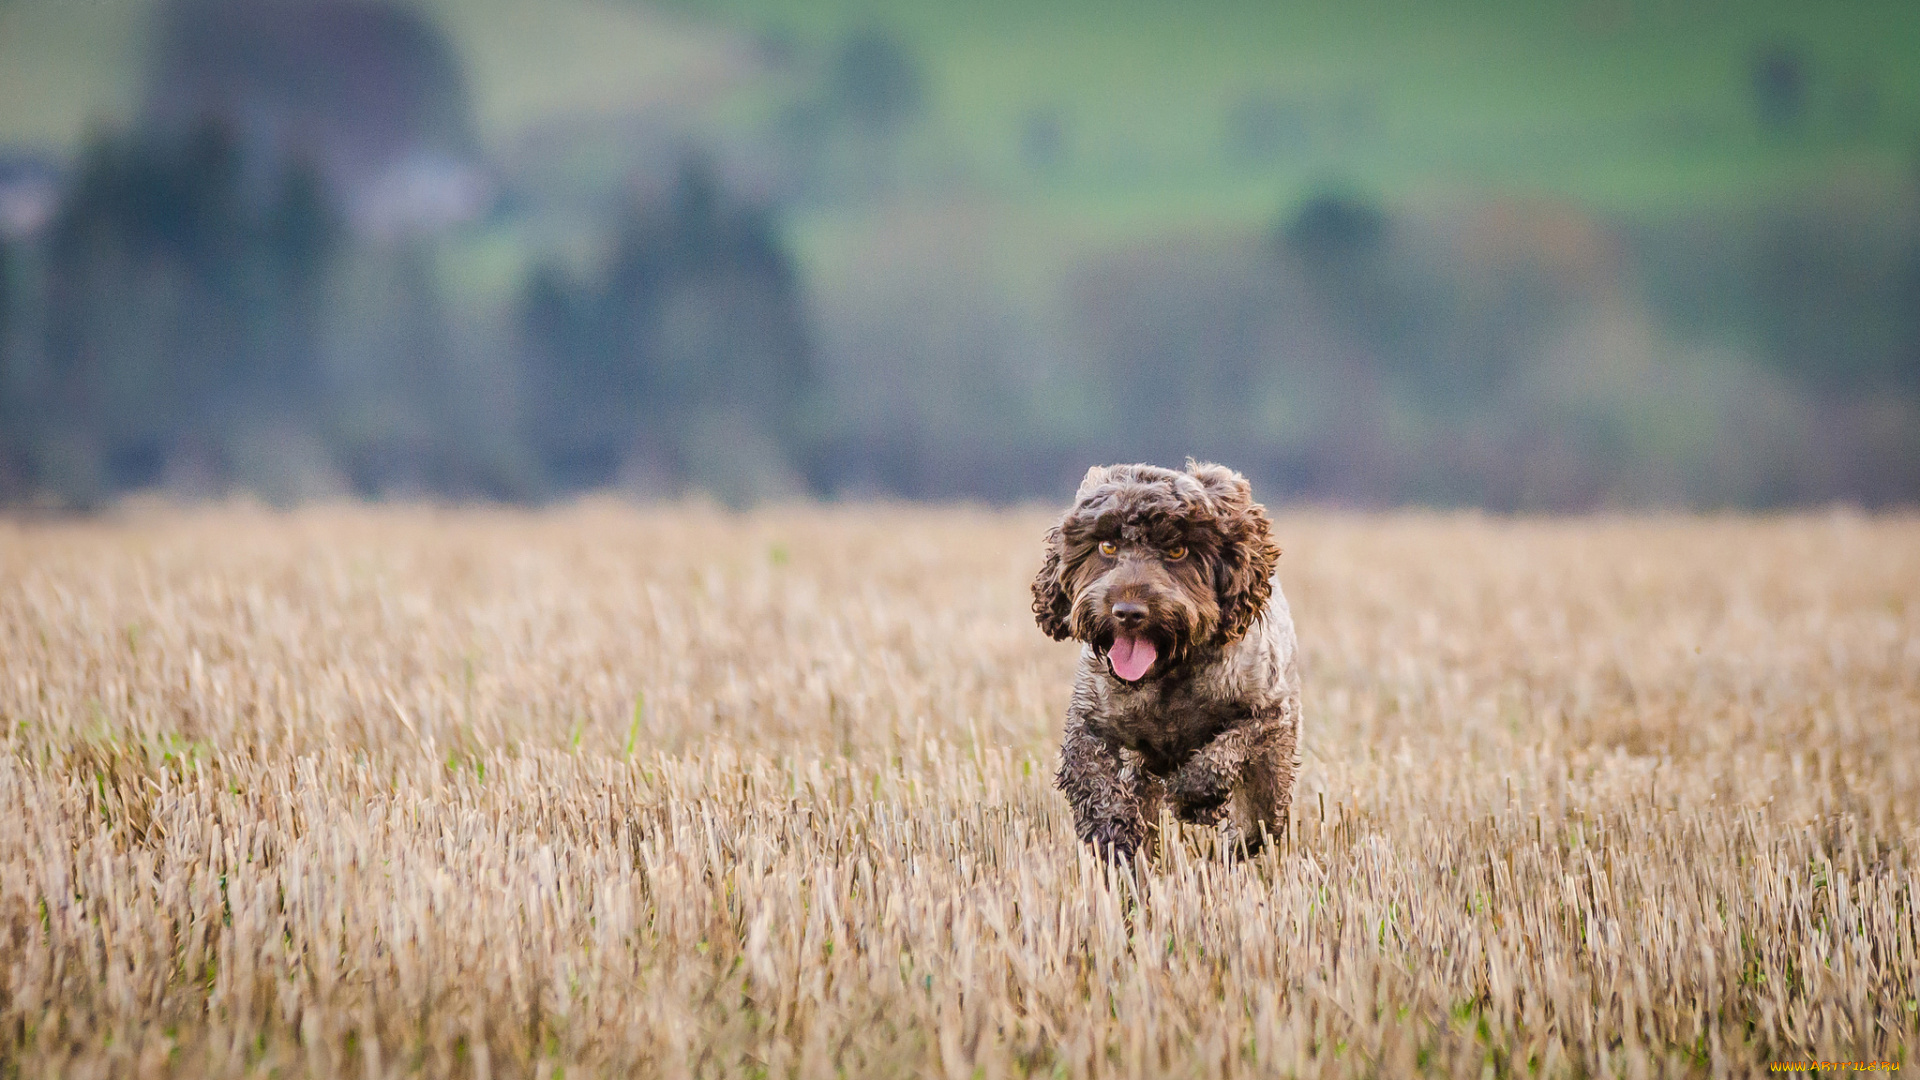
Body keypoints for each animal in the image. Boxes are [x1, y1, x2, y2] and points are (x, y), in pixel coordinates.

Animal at [1036, 463, 1305, 857]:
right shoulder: (1089, 720)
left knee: (1259, 822)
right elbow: (1091, 774)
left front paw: (1194, 798)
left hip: (1274, 771)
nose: (1127, 612)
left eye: (1178, 550)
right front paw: (1112, 828)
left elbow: (1223, 753)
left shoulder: (1267, 714)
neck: (1166, 674)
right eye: (1107, 546)